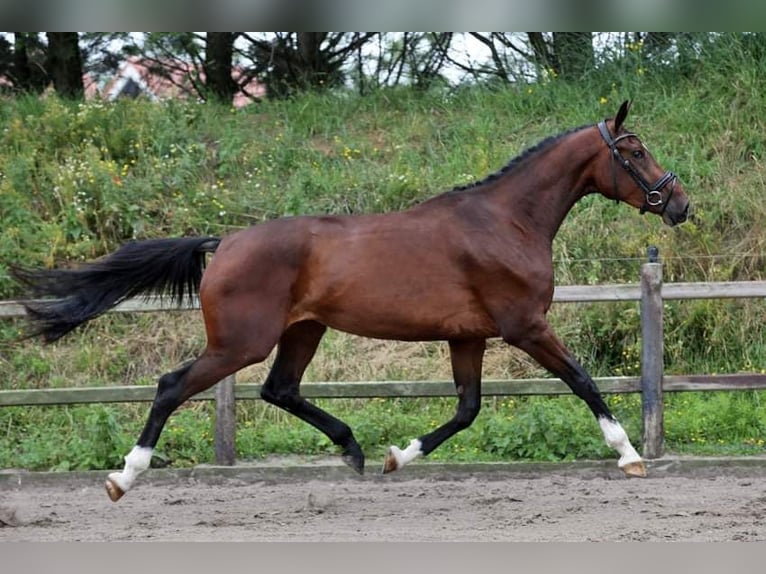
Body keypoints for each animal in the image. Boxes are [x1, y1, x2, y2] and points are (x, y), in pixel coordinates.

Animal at [15, 101, 692, 502]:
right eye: (634, 152)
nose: (680, 204)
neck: (506, 221)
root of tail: (223, 241)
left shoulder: (468, 335)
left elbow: (467, 409)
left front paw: (398, 456)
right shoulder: (525, 326)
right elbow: (583, 381)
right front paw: (630, 456)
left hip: (302, 330)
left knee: (280, 389)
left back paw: (356, 449)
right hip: (241, 342)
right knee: (172, 385)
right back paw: (122, 476)